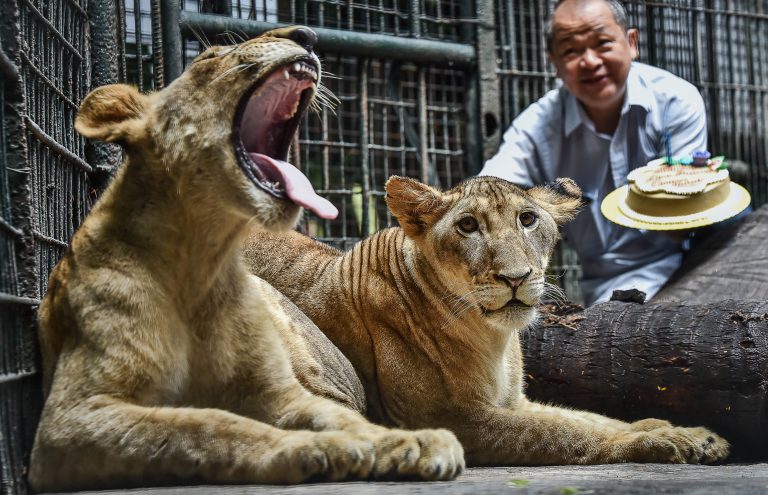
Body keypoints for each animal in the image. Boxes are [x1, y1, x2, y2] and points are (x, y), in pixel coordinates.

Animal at [28, 24, 462, 492]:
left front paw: (414, 442)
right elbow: (206, 426)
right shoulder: (72, 421)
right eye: (207, 59)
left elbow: (342, 419)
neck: (201, 258)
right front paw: (319, 450)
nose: (306, 34)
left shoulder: (281, 393)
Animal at [243, 176, 728, 466]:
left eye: (528, 219)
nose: (516, 278)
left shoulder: (514, 402)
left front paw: (686, 433)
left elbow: (589, 419)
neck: (492, 338)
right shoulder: (445, 418)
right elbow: (562, 432)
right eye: (468, 226)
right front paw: (663, 442)